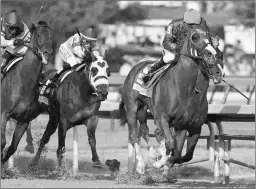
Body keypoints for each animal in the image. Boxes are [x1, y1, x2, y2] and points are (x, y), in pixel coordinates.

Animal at [1, 21, 54, 165]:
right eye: (38, 35)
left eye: (52, 36)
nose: (48, 53)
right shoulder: (3, 114)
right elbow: (2, 142)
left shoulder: (24, 120)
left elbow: (12, 147)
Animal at [119, 25, 224, 175]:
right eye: (195, 37)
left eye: (209, 37)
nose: (211, 54)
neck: (186, 90)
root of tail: (135, 67)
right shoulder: (162, 118)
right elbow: (170, 143)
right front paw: (159, 162)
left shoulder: (189, 125)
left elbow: (182, 154)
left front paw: (164, 162)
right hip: (132, 107)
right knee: (134, 135)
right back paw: (141, 165)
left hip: (143, 109)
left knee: (144, 130)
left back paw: (151, 156)